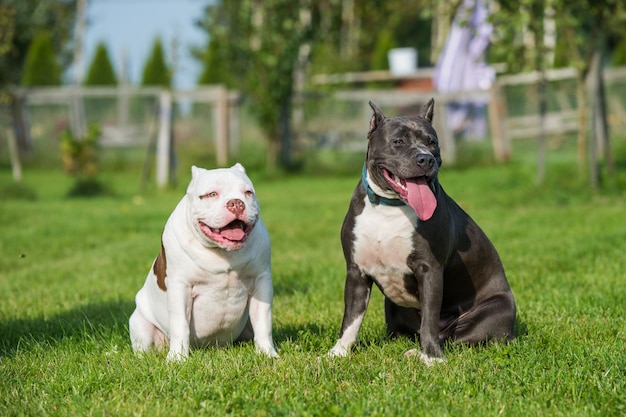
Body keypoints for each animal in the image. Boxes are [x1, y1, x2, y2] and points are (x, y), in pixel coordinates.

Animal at [128, 164, 276, 360]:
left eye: (248, 193)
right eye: (212, 194)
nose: (236, 203)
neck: (222, 252)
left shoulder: (261, 281)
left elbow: (263, 322)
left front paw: (268, 353)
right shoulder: (180, 287)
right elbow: (180, 324)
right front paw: (177, 358)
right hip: (140, 324)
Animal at [330, 99, 516, 362]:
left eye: (432, 143)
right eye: (398, 141)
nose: (426, 159)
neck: (389, 207)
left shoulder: (430, 270)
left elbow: (429, 318)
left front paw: (432, 358)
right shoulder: (357, 272)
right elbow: (351, 318)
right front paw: (338, 352)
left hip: (492, 312)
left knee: (452, 338)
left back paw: (418, 351)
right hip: (392, 308)